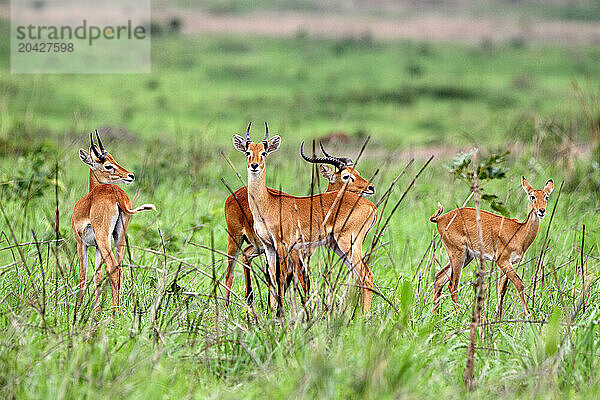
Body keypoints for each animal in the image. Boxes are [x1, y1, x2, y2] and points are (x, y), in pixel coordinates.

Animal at [72, 131, 157, 310]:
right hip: (119, 237)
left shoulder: (81, 243)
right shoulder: (96, 246)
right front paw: (96, 309)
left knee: (113, 268)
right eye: (108, 165)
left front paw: (79, 307)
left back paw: (114, 311)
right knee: (120, 269)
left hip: (104, 238)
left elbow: (82, 274)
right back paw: (116, 309)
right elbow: (97, 275)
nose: (130, 175)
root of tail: (117, 194)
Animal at [232, 122, 378, 316]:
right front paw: (272, 313)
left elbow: (281, 277)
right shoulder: (269, 246)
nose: (254, 165)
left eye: (264, 152)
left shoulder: (284, 245)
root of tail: (371, 206)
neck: (268, 205)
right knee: (358, 276)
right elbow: (272, 277)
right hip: (337, 246)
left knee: (366, 276)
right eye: (248, 152)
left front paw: (280, 314)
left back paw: (363, 317)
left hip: (348, 243)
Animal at [432, 177, 552, 318]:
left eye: (546, 196)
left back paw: (434, 315)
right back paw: (458, 315)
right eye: (532, 196)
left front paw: (498, 318)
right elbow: (519, 284)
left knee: (439, 278)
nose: (542, 211)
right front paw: (528, 315)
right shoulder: (503, 261)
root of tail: (440, 218)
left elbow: (501, 290)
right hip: (458, 254)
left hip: (467, 256)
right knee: (452, 285)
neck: (519, 232)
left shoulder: (507, 264)